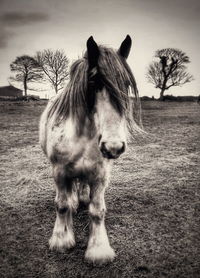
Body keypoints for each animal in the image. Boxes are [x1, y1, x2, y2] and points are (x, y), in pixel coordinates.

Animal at [39, 34, 143, 262]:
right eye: (94, 81)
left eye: (126, 85)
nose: (114, 146)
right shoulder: (60, 172)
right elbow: (61, 205)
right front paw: (61, 240)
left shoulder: (100, 175)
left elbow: (97, 211)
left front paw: (99, 249)